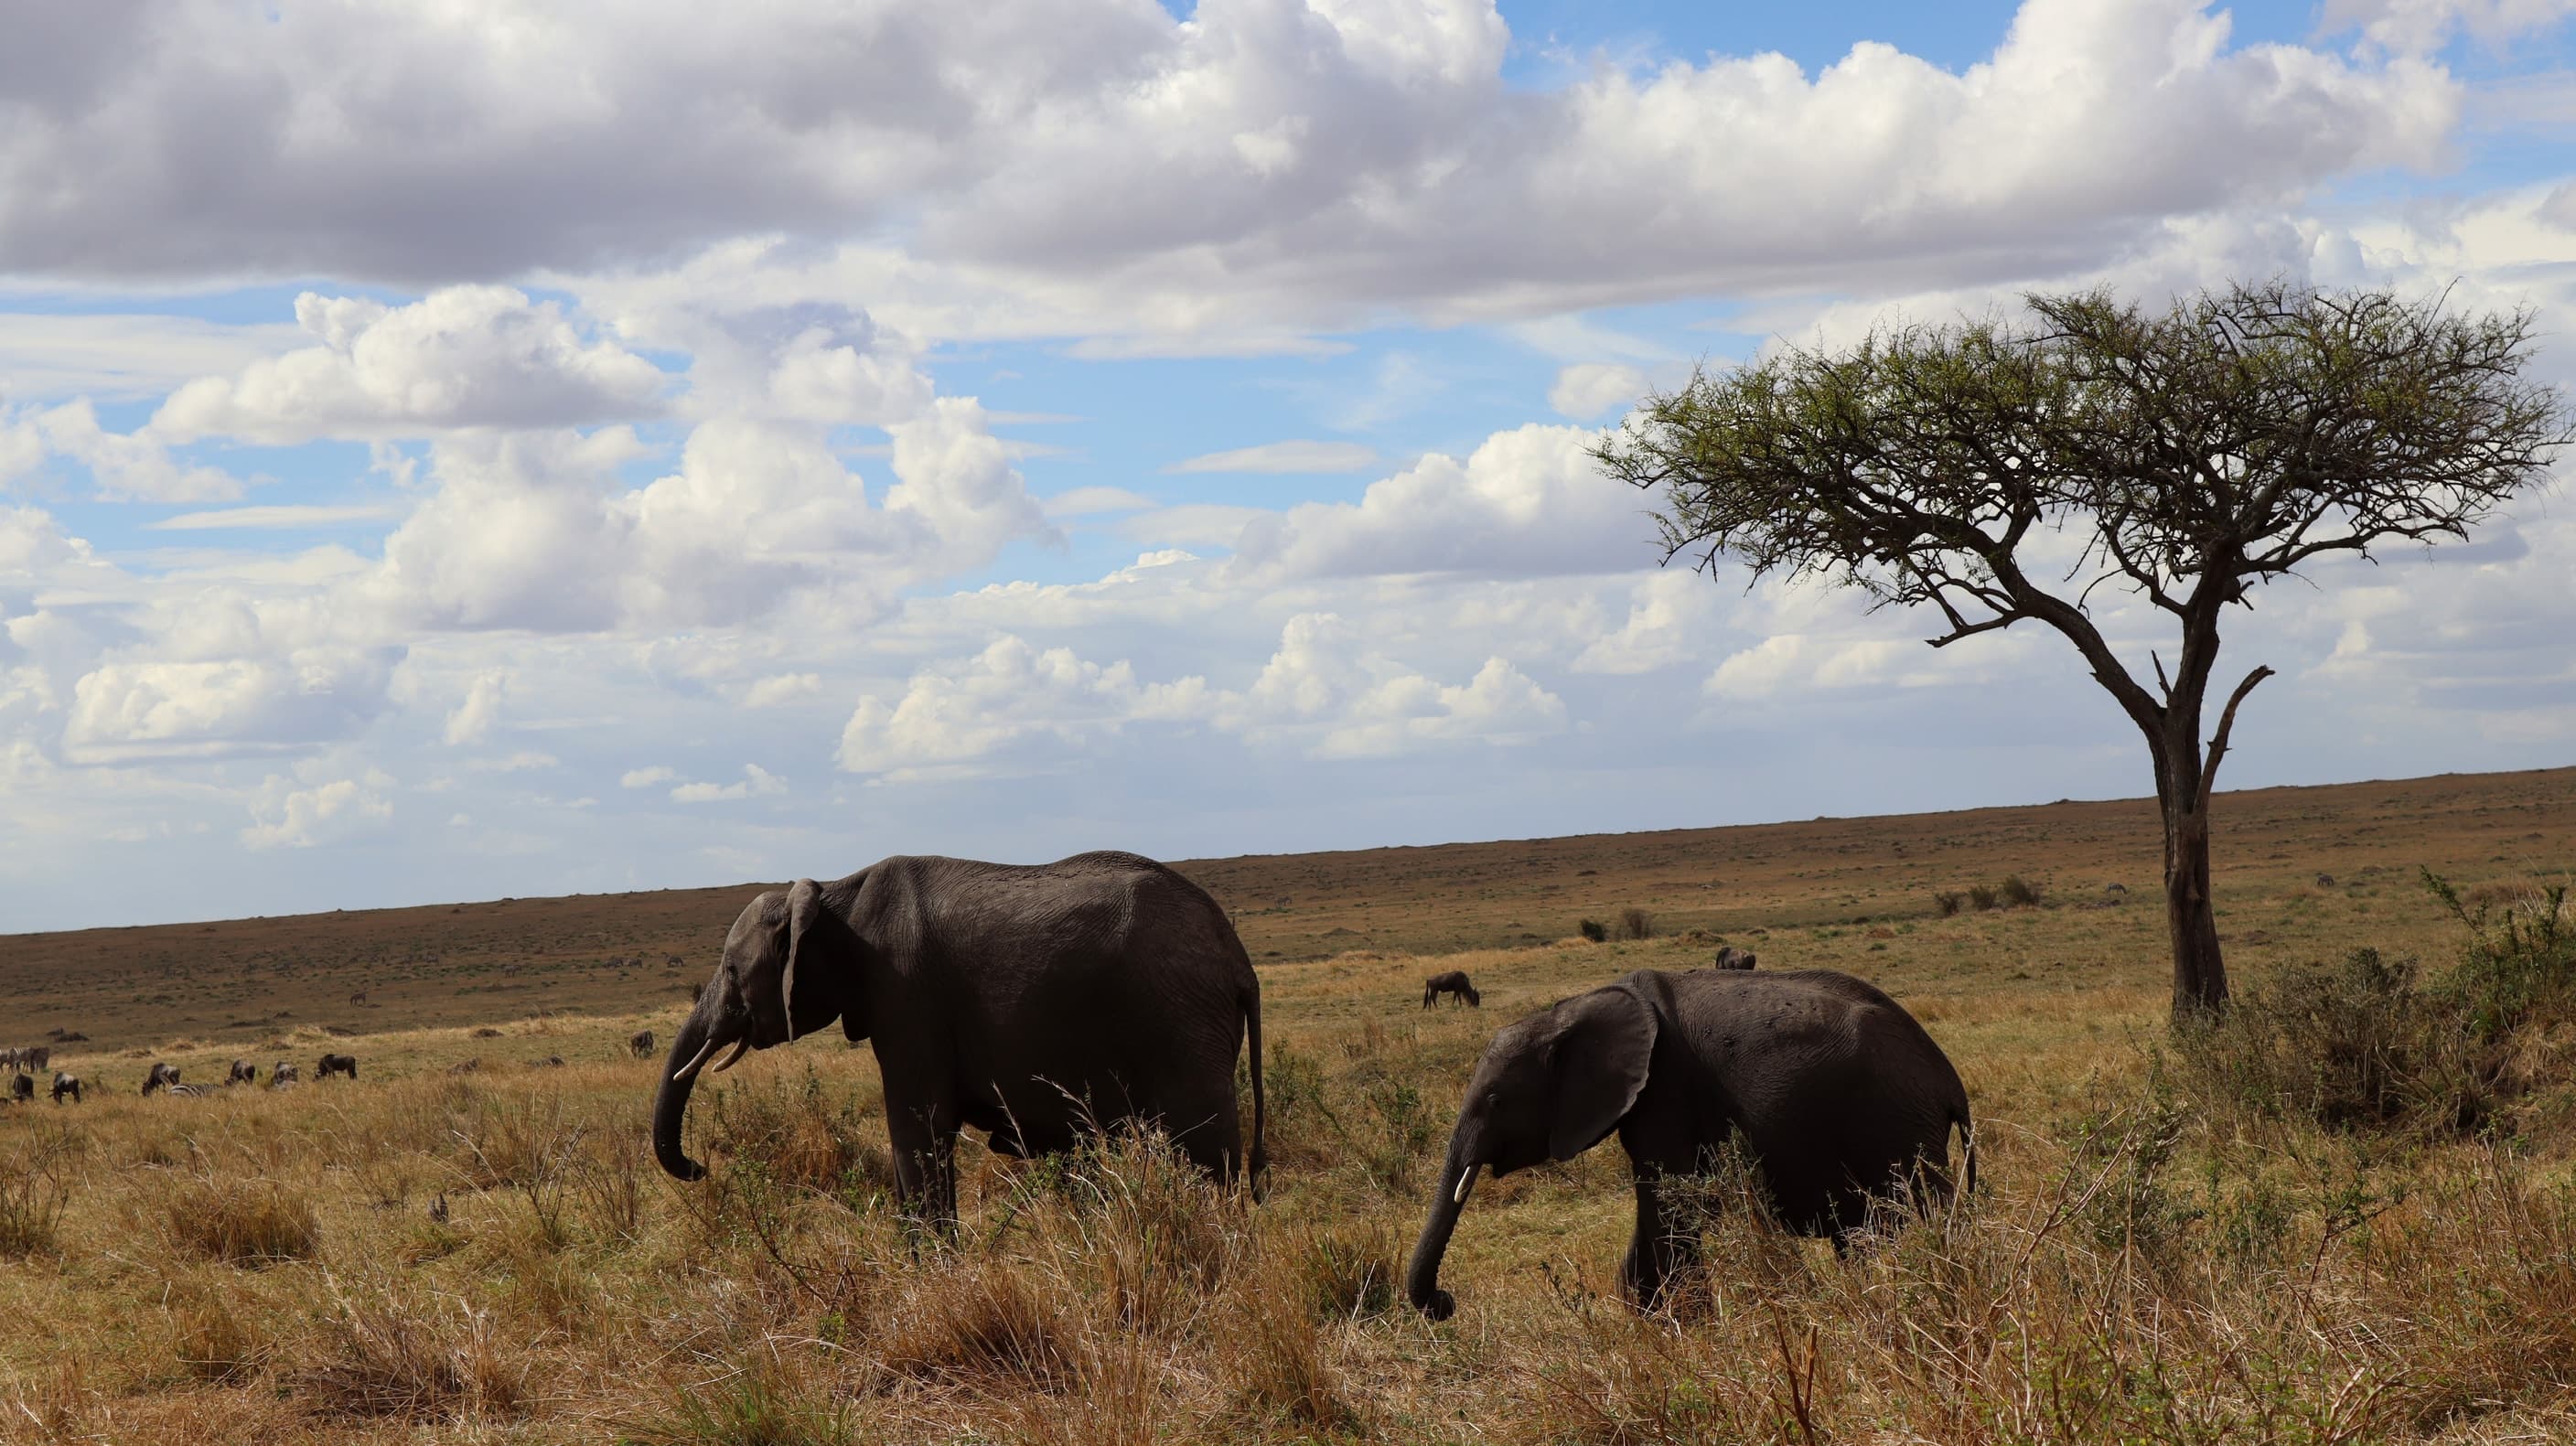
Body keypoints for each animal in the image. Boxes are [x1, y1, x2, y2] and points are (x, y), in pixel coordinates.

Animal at [652, 851, 1267, 1232]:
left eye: (732, 970)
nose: (699, 1169)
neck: (833, 894)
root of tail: (1240, 961)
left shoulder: (905, 995)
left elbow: (917, 1128)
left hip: (1183, 1020)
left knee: (1207, 1152)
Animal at [1406, 967, 1973, 1321]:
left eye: (1496, 1099)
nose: (1445, 1302)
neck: (1568, 1012)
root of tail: (1950, 1084)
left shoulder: (1665, 1089)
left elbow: (1670, 1200)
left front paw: (1678, 1323)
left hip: (1899, 1129)